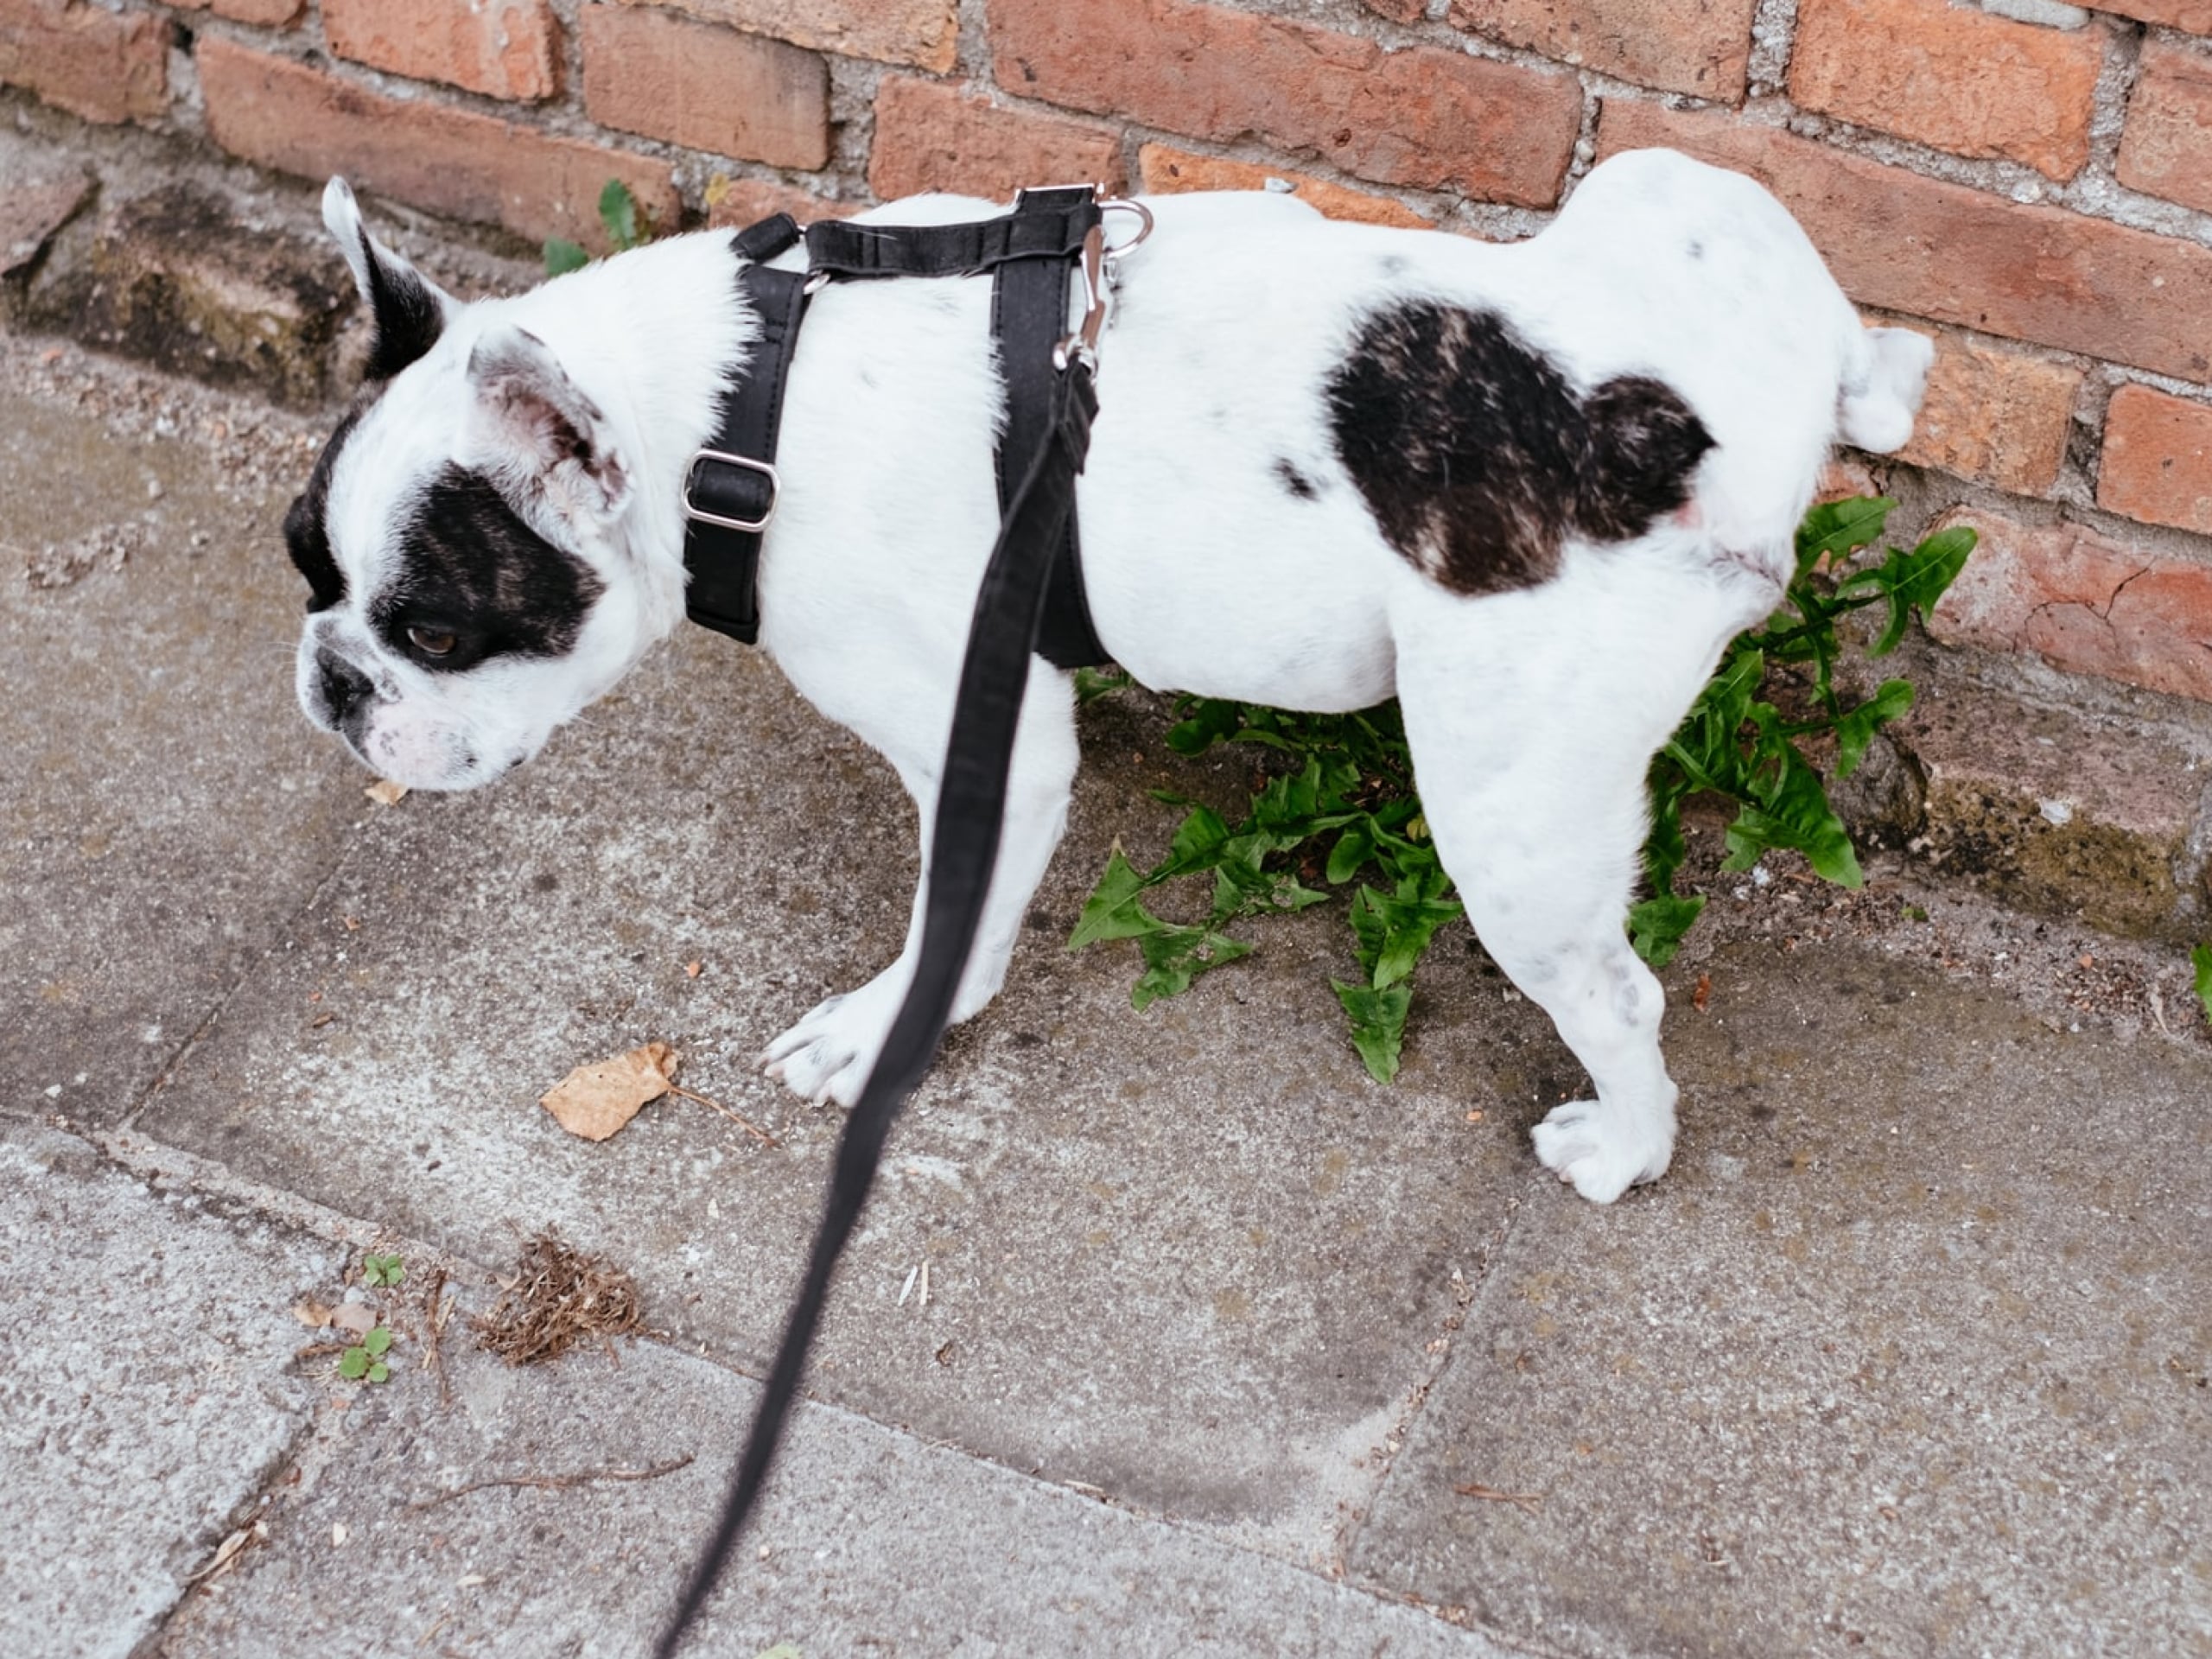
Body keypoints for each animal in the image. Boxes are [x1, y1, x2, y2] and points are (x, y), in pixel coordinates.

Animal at [289, 149, 1920, 1203]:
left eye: (437, 630)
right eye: (306, 565)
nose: (333, 680)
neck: (743, 411)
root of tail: (1683, 428)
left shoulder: (985, 743)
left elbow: (952, 927)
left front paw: (883, 1032)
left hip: (1503, 804)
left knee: (1621, 996)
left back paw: (1624, 1151)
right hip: (1681, 193)